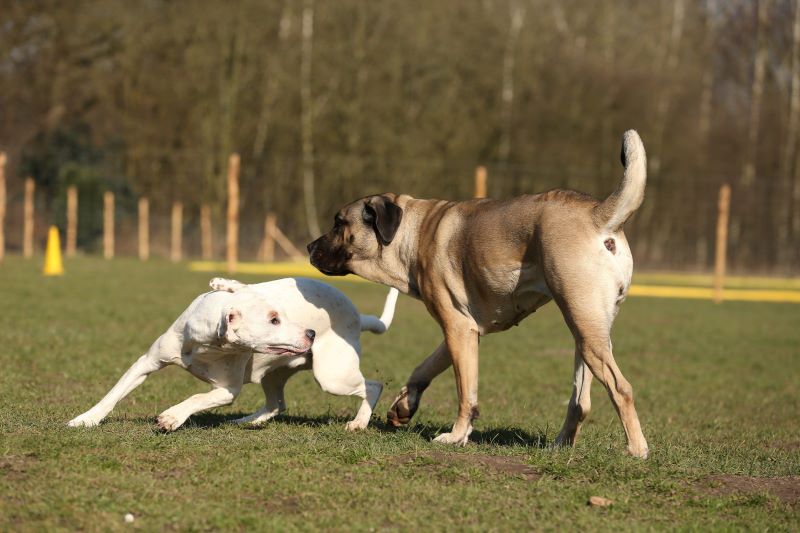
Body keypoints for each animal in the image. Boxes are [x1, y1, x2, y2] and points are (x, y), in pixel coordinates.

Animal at [67, 276, 398, 430]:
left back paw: (359, 422)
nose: (311, 334)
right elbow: (113, 395)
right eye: (274, 319)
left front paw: (172, 417)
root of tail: (358, 316)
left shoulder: (227, 391)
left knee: (373, 385)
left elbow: (195, 398)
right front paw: (86, 420)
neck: (207, 343)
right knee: (276, 403)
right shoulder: (147, 363)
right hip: (274, 373)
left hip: (332, 377)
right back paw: (247, 421)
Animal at [306, 130, 648, 458]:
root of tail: (597, 214)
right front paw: (404, 405)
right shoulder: (464, 329)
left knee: (621, 388)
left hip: (585, 327)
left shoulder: (457, 328)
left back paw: (636, 449)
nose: (309, 247)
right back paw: (560, 444)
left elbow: (465, 394)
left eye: (339, 223)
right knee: (580, 403)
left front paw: (456, 436)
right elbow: (426, 366)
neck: (412, 234)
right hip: (587, 333)